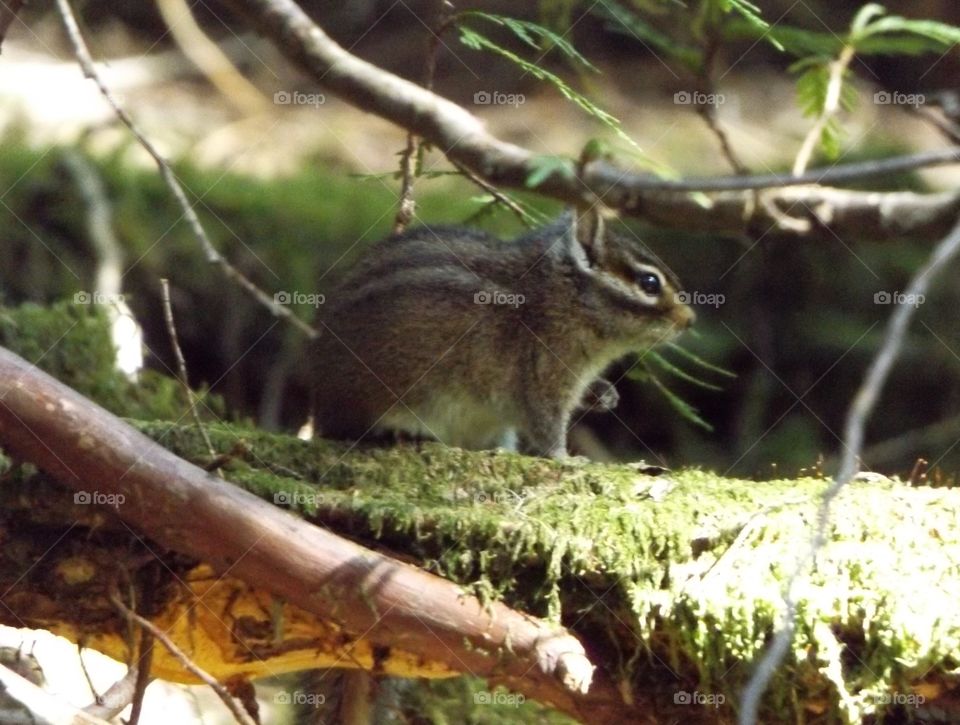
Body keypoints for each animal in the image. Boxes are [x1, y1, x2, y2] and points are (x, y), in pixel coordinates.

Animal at [312, 207, 695, 458]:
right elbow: (547, 427)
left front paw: (604, 394)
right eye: (650, 283)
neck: (564, 301)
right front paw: (568, 460)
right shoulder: (543, 378)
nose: (689, 320)